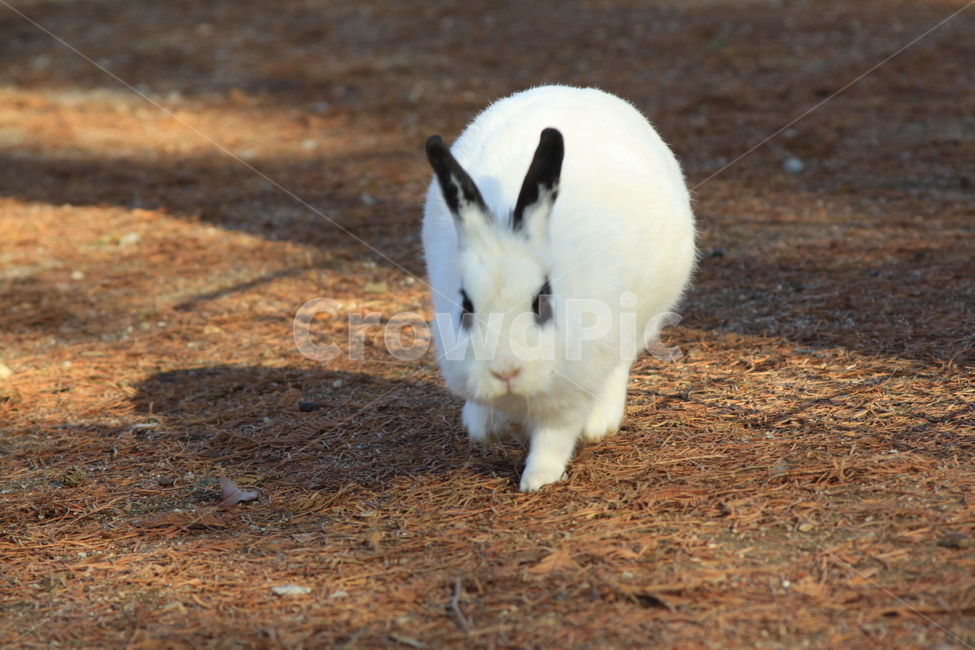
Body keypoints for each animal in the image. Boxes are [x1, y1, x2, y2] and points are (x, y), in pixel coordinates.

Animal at [422, 85, 696, 492]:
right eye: (466, 306)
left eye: (541, 301)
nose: (505, 371)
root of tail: (578, 91)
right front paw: (491, 429)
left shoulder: (571, 393)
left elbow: (555, 436)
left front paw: (537, 480)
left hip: (644, 314)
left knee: (622, 361)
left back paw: (601, 424)